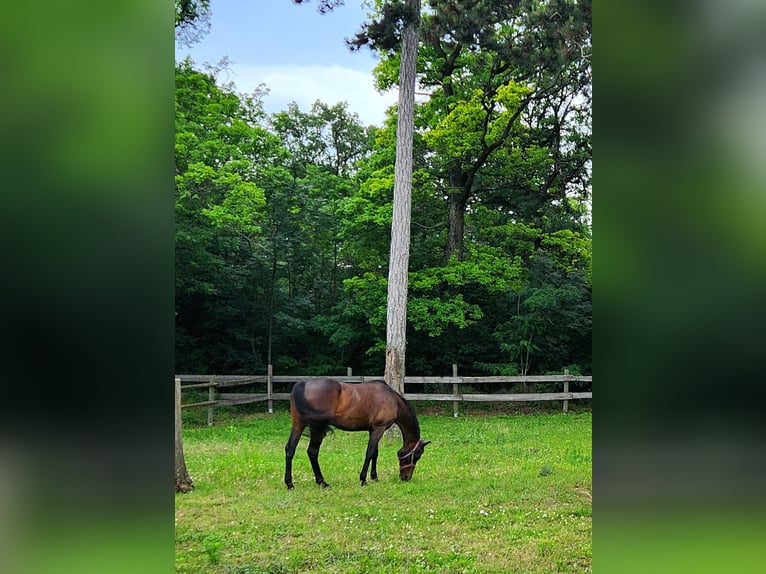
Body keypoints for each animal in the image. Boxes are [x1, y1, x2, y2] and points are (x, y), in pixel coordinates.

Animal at [288, 378, 432, 490]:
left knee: (290, 449)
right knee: (312, 451)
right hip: (317, 428)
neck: (392, 400)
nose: (406, 478)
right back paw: (322, 482)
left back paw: (290, 484)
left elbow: (375, 453)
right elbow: (369, 453)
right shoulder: (379, 428)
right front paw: (363, 479)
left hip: (298, 425)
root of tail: (302, 384)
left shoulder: (373, 430)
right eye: (416, 456)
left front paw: (374, 477)